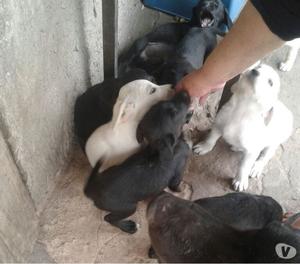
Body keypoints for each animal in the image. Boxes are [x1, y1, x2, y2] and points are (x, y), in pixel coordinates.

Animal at [82, 92, 190, 233]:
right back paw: (128, 227)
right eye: (174, 112)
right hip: (128, 207)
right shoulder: (177, 174)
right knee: (108, 218)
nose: (184, 92)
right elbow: (175, 186)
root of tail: (91, 189)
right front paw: (182, 190)